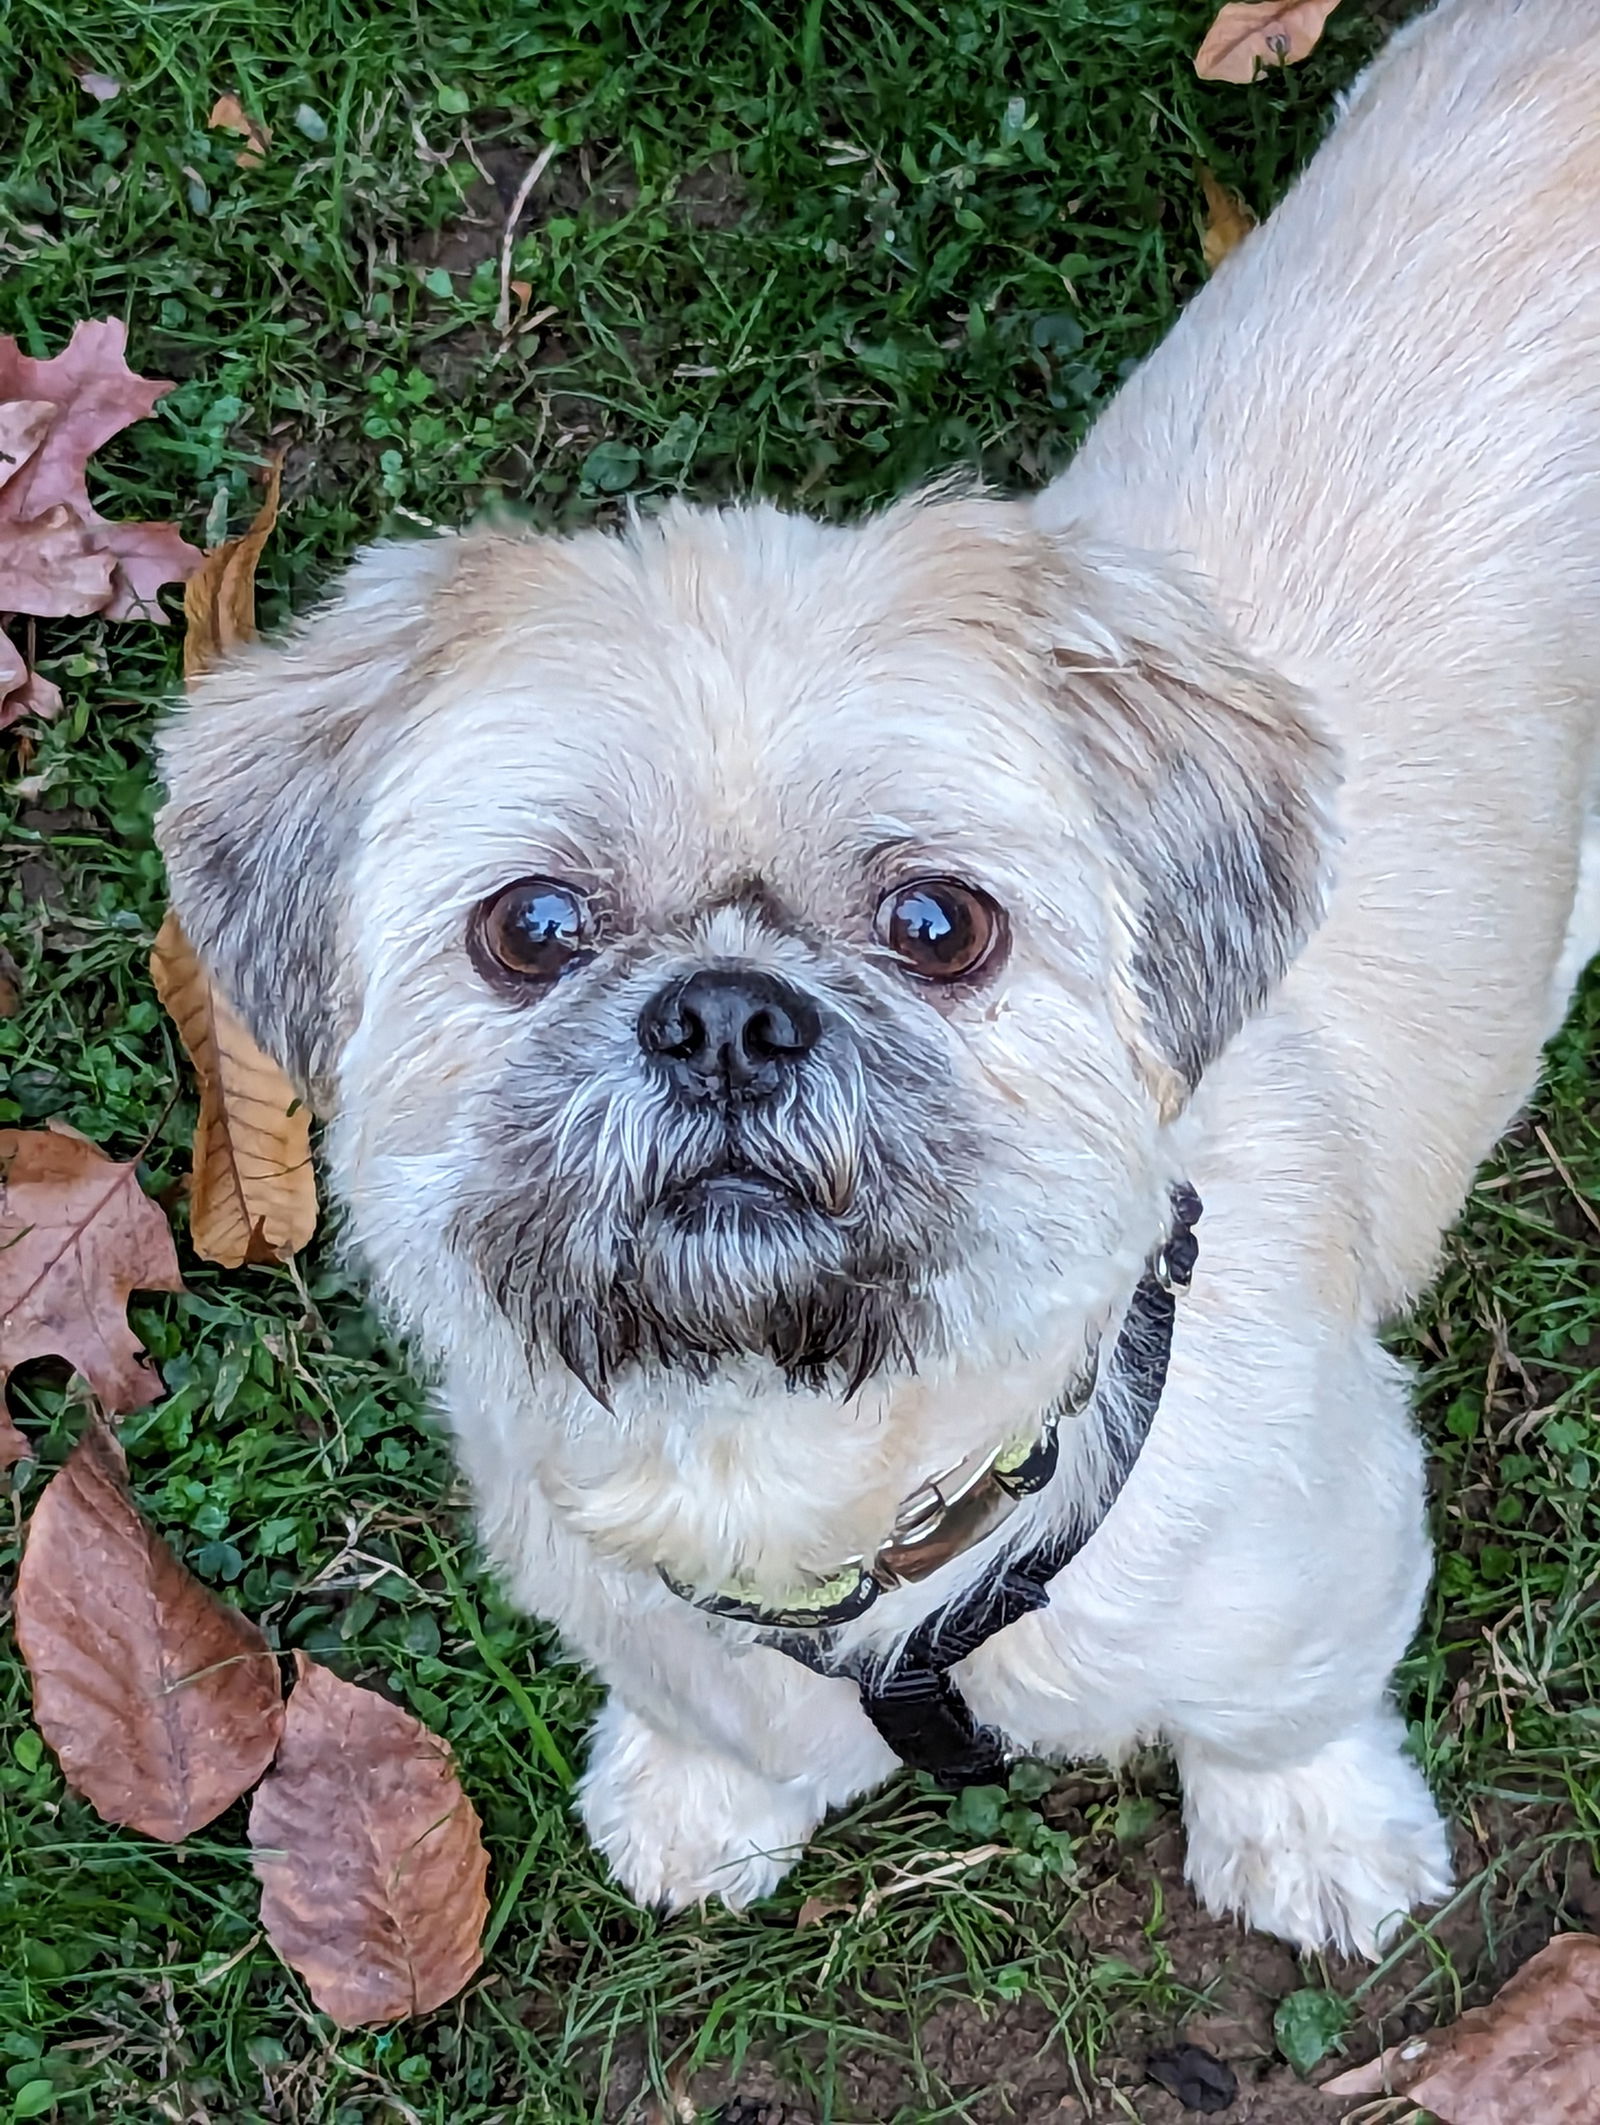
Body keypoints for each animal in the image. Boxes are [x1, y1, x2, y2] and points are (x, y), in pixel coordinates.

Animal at [152, 0, 1597, 1955]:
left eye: (937, 926)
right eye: (532, 929)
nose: (725, 1015)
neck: (809, 1490)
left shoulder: (1329, 1544)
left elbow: (1285, 1714)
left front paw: (1311, 1839)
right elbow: (712, 1726)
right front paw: (703, 1802)